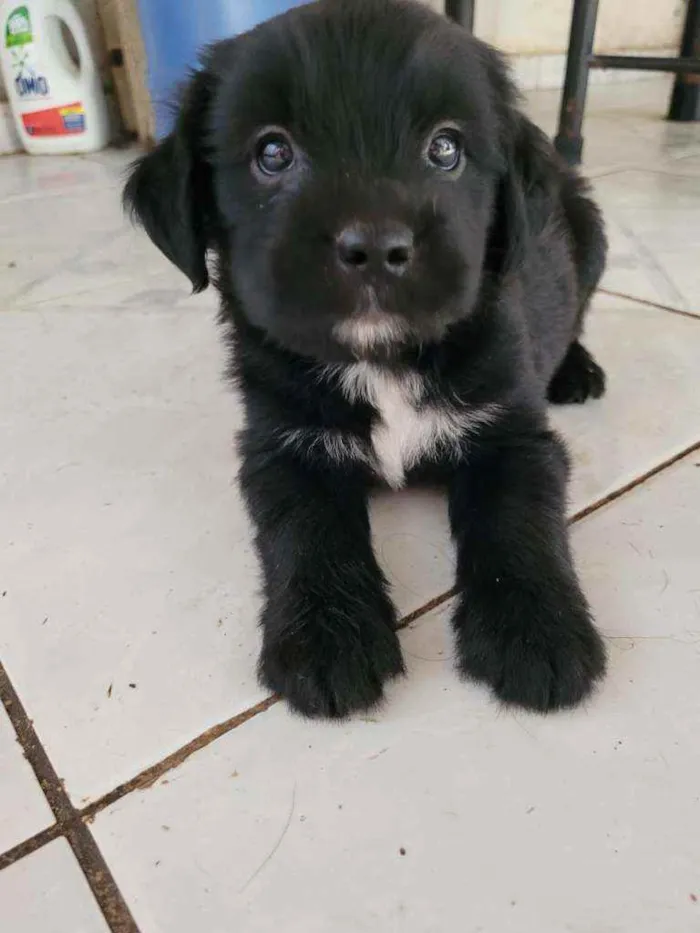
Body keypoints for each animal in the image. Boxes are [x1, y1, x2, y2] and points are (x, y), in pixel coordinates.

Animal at [126, 0, 608, 712]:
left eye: (445, 147)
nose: (377, 246)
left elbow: (519, 521)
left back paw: (576, 370)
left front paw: (537, 631)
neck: (380, 360)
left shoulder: (514, 434)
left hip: (590, 233)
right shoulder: (282, 444)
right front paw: (327, 640)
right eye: (273, 151)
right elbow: (305, 529)